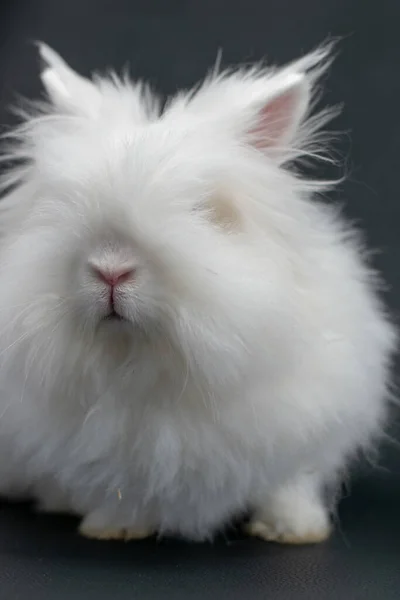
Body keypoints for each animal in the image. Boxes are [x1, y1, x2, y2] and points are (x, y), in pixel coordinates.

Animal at [0, 39, 396, 540]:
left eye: (208, 211)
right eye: (58, 205)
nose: (110, 270)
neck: (145, 366)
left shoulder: (309, 429)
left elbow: (290, 485)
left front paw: (293, 530)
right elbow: (119, 494)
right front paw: (113, 528)